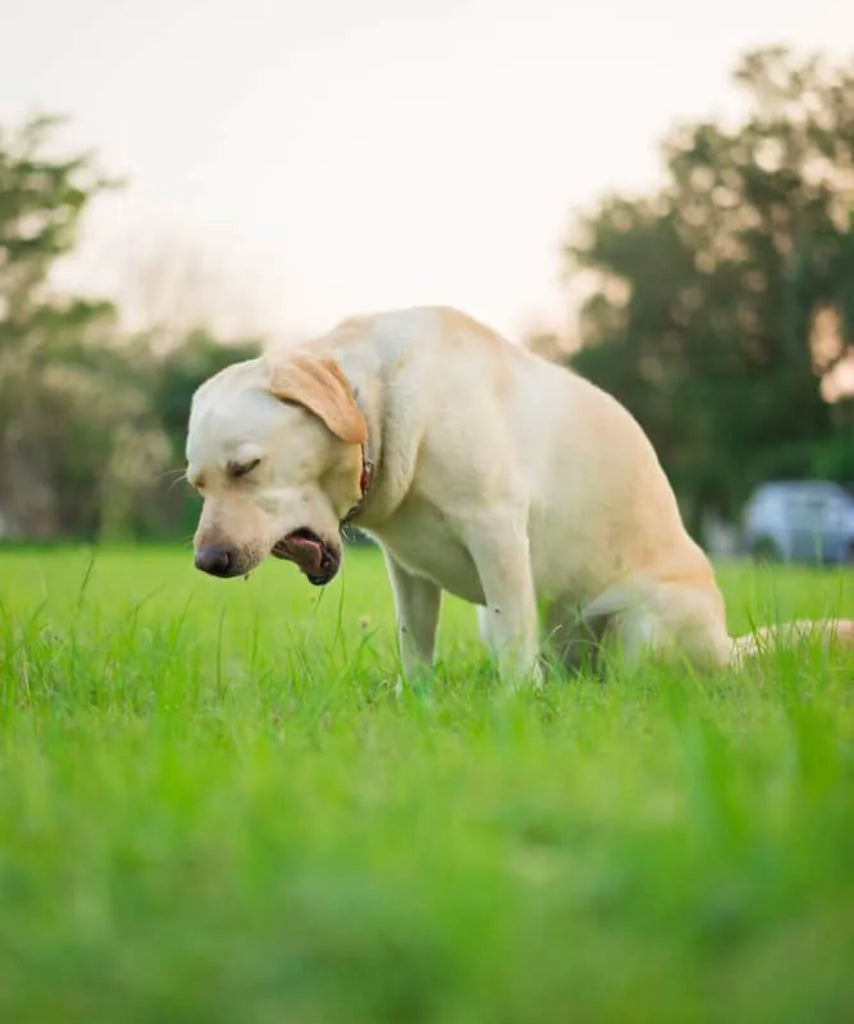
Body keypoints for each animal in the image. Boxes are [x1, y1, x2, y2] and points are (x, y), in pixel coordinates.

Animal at [183, 307, 847, 684]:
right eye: (197, 483)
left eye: (246, 467)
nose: (208, 562)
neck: (375, 402)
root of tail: (729, 650)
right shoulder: (407, 570)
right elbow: (415, 642)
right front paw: (417, 700)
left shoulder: (496, 528)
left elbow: (512, 637)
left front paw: (514, 704)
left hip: (643, 625)